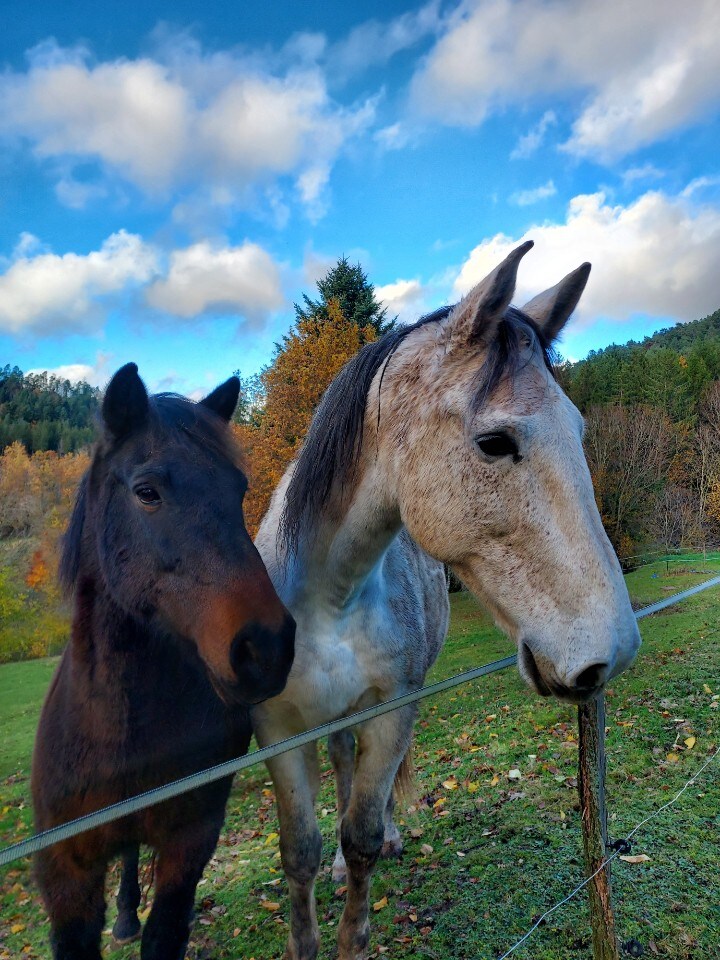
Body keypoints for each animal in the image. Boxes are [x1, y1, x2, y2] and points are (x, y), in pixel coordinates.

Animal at [31, 364, 296, 956]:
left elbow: (165, 931)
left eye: (238, 491)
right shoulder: (65, 873)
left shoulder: (189, 840)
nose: (266, 647)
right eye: (146, 492)